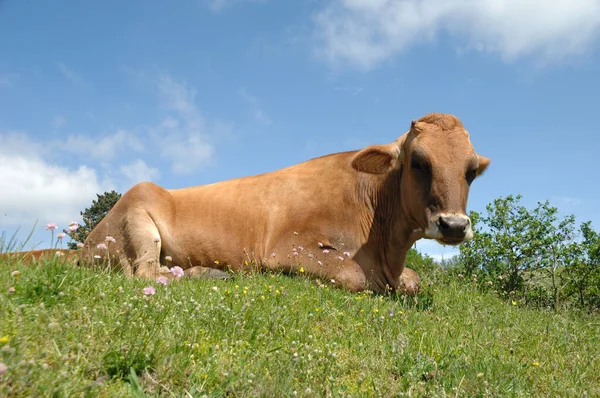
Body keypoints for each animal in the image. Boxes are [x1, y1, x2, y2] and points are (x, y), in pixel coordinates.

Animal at [77, 113, 488, 294]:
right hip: (138, 214)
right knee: (143, 274)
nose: (454, 225)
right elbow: (352, 275)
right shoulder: (287, 247)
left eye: (470, 171)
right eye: (418, 162)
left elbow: (414, 281)